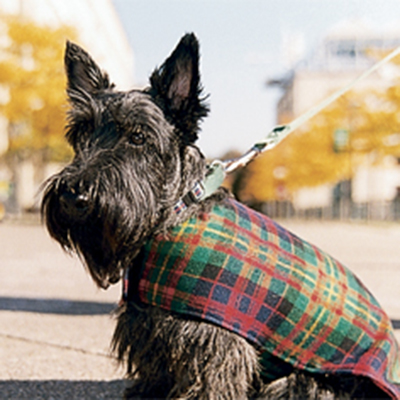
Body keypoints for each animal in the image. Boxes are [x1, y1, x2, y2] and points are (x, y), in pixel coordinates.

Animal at [42, 35, 398, 400]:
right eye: (81, 133)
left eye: (138, 136)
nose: (72, 196)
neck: (174, 215)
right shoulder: (150, 331)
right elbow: (155, 374)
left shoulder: (214, 344)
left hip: (301, 382)